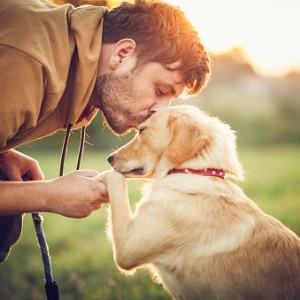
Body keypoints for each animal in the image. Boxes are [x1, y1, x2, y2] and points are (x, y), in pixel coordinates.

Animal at [96, 104, 300, 298]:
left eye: (142, 130)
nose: (109, 158)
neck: (193, 171)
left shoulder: (127, 248)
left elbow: (116, 180)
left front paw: (98, 176)